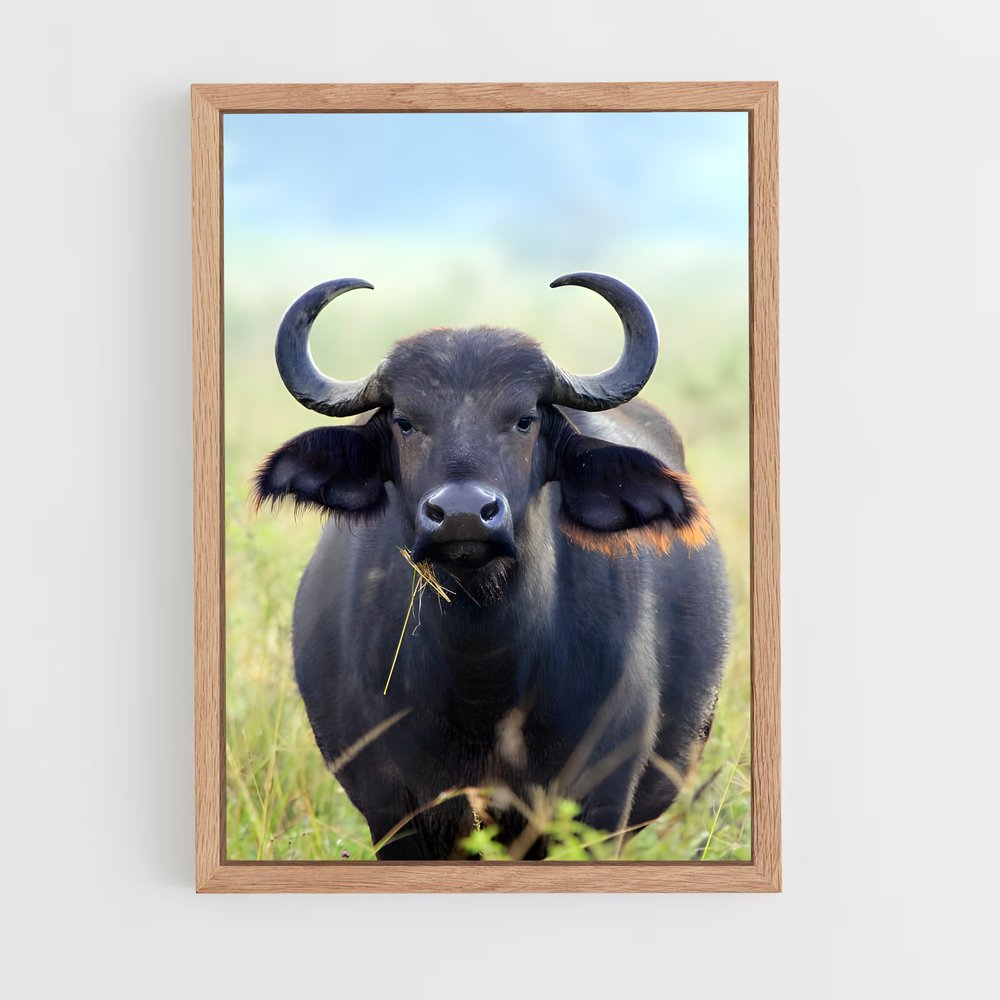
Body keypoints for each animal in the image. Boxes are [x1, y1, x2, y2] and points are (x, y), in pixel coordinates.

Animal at [254, 273, 730, 860]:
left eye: (525, 420)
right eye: (405, 422)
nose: (462, 514)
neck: (484, 681)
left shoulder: (598, 808)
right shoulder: (393, 811)